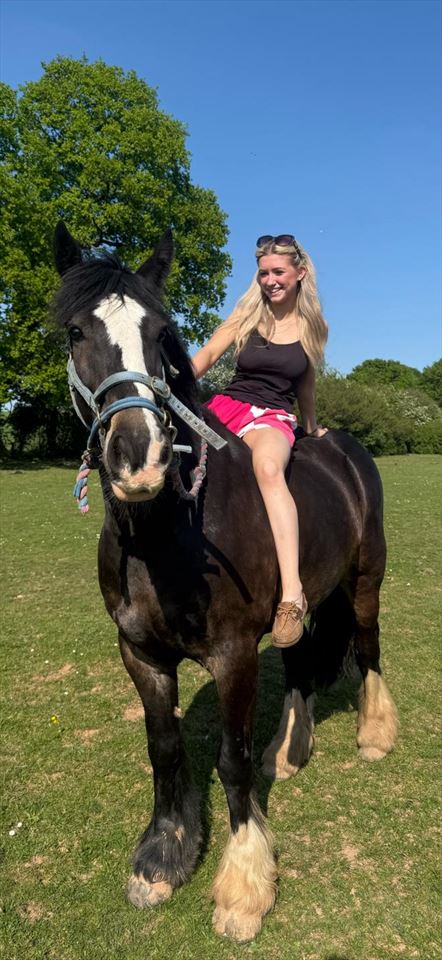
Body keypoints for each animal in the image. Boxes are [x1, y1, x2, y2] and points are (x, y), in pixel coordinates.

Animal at [52, 222, 398, 943]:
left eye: (161, 333)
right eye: (75, 332)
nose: (140, 456)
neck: (171, 532)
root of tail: (343, 445)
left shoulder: (234, 654)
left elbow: (231, 760)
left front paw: (243, 883)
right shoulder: (140, 654)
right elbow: (163, 748)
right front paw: (163, 856)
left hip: (365, 581)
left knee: (369, 645)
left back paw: (376, 734)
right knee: (299, 658)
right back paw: (289, 751)